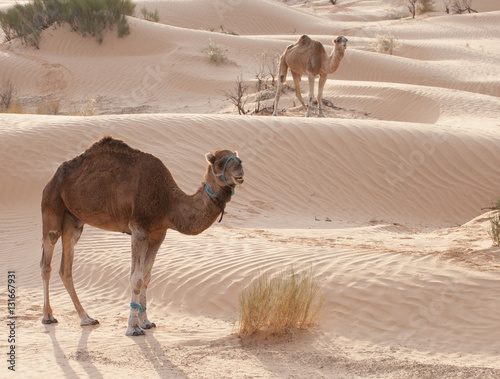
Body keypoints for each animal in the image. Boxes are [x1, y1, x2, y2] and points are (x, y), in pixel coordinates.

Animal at [40, 136, 244, 336]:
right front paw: (133, 327)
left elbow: (146, 277)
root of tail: (52, 177)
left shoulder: (158, 233)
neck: (168, 202)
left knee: (65, 268)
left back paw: (86, 318)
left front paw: (145, 322)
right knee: (47, 260)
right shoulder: (139, 229)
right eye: (219, 163)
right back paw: (48, 316)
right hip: (52, 203)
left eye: (238, 159)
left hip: (74, 220)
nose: (240, 171)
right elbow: (136, 279)